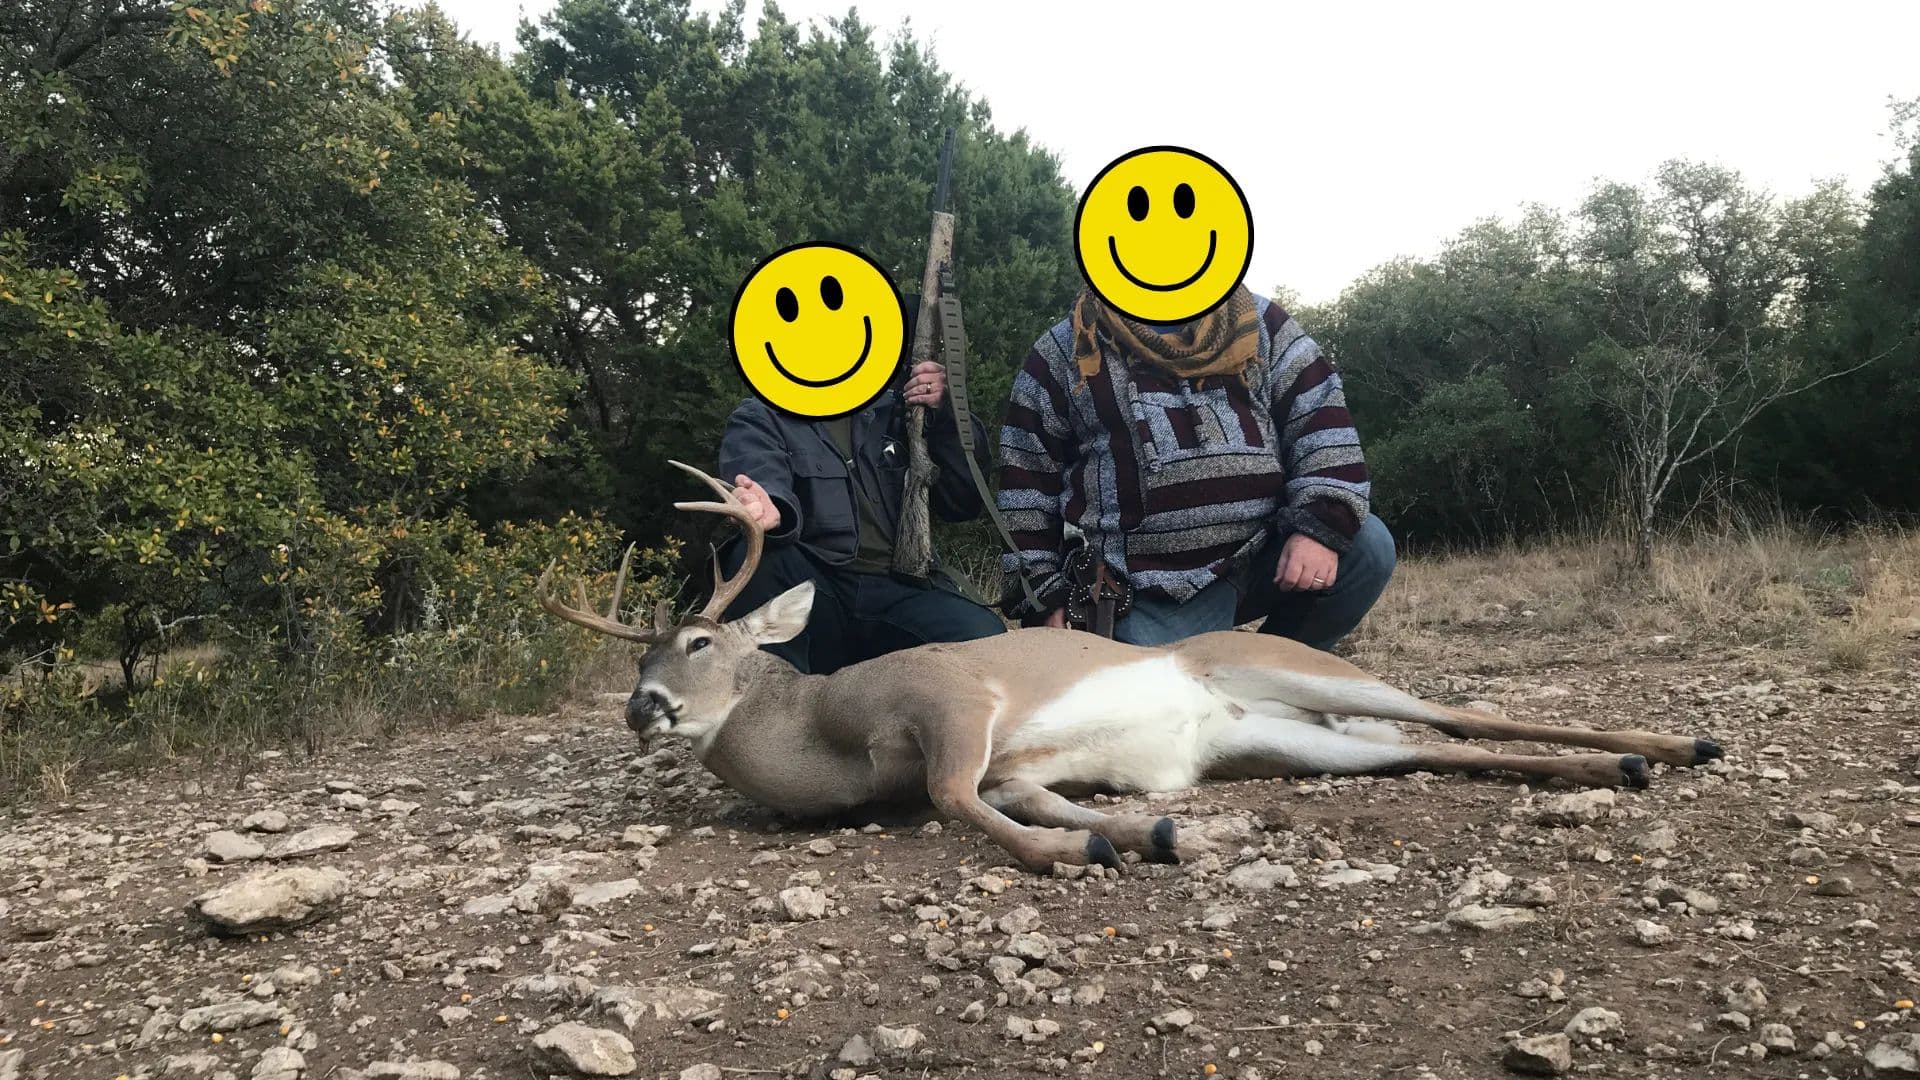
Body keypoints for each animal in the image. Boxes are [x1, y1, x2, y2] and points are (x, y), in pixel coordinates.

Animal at [537, 461, 1725, 874]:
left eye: (700, 643)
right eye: (642, 658)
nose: (643, 709)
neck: (828, 737)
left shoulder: (954, 698)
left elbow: (955, 798)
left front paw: (1082, 853)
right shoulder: (1015, 760)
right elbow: (1015, 795)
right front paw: (1153, 831)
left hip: (1294, 662)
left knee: (1460, 710)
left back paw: (1673, 745)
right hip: (1287, 742)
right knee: (1416, 748)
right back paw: (1624, 767)